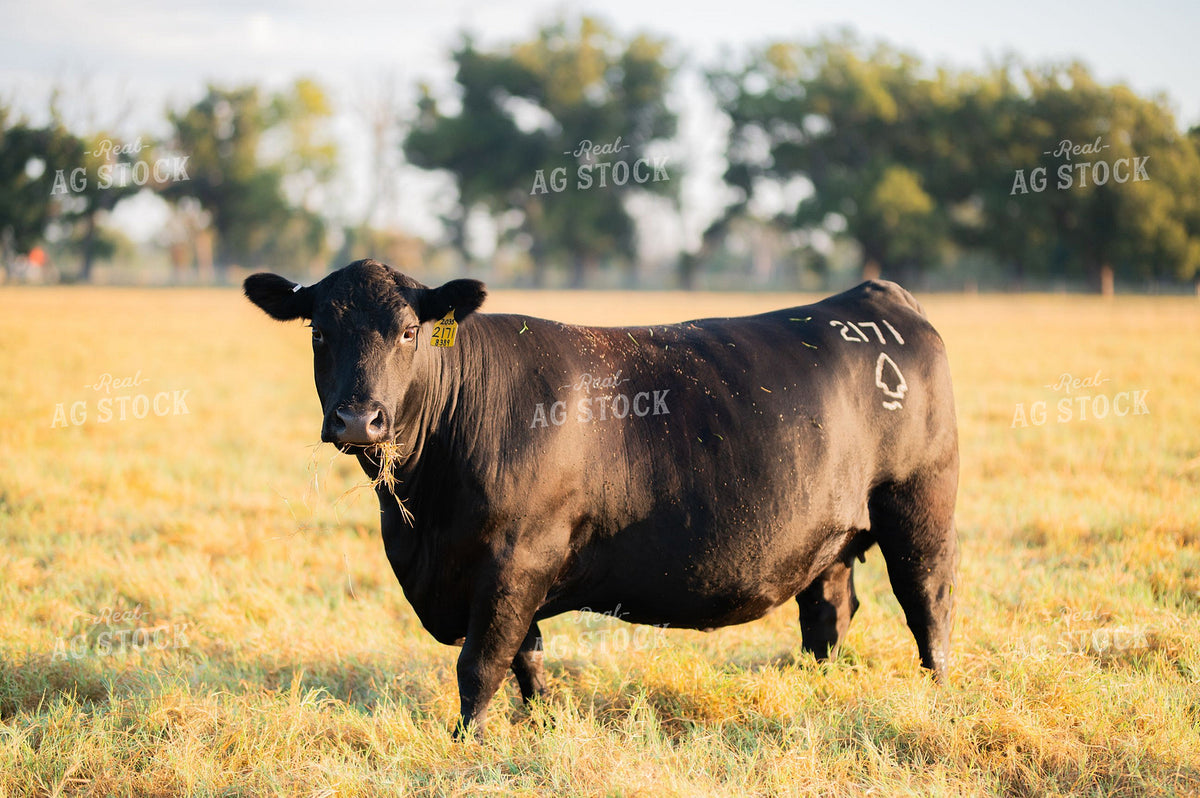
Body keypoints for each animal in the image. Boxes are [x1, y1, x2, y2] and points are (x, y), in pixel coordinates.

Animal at [244, 258, 959, 737]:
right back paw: (818, 690)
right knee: (828, 618)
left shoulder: (518, 558)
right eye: (318, 333)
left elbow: (481, 664)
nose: (357, 419)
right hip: (828, 536)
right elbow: (527, 659)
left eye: (409, 332)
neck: (419, 524)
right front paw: (540, 730)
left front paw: (464, 745)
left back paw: (939, 697)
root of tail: (876, 296)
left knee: (929, 605)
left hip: (920, 508)